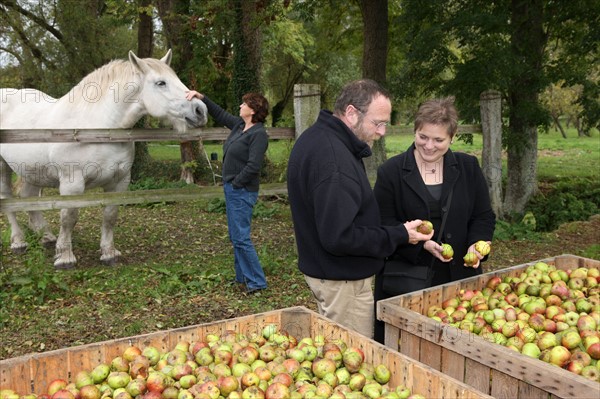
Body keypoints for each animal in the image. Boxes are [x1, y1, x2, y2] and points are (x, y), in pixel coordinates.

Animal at [1, 49, 209, 268]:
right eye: (161, 83)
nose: (200, 110)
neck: (97, 127)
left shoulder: (119, 182)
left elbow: (110, 216)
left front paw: (109, 253)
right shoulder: (71, 184)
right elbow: (69, 217)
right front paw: (65, 257)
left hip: (32, 170)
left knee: (28, 197)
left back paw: (46, 237)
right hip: (4, 167)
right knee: (7, 199)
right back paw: (19, 241)